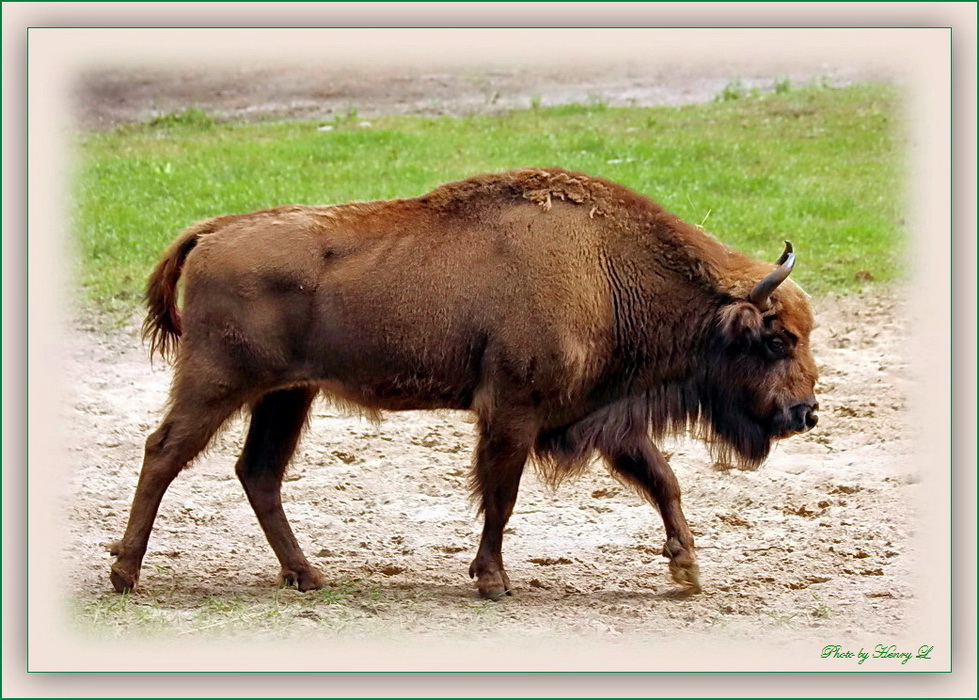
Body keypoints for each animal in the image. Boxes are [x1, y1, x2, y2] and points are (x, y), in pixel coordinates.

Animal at [109, 167, 820, 600]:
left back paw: (307, 576)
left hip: (286, 396)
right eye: (777, 338)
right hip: (219, 384)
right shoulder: (512, 412)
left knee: (258, 472)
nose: (805, 412)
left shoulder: (599, 415)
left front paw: (688, 570)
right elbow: (500, 496)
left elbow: (662, 478)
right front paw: (492, 581)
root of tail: (215, 230)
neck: (602, 265)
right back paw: (125, 573)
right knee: (164, 453)